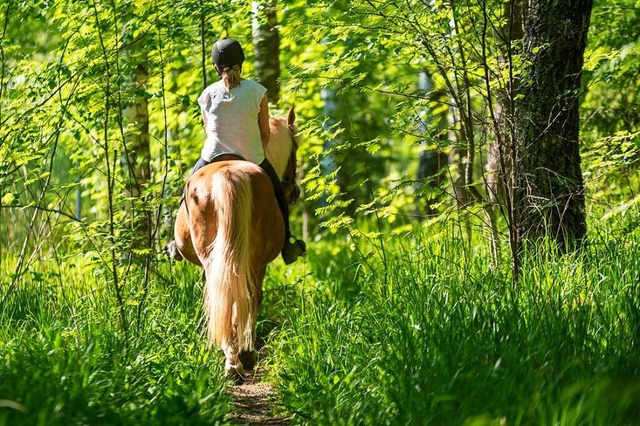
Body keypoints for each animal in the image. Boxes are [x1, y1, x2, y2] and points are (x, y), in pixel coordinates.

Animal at [170, 109, 300, 376]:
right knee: (247, 296)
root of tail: (227, 175)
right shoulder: (261, 264)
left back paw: (231, 358)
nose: (295, 192)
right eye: (296, 149)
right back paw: (242, 355)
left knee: (222, 293)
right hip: (251, 259)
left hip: (216, 258)